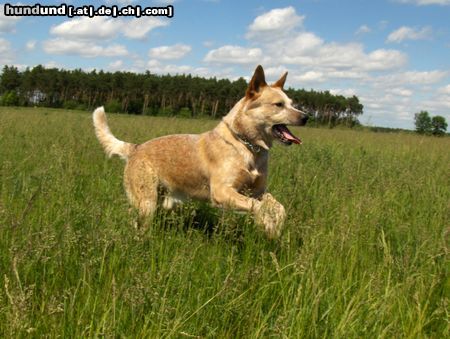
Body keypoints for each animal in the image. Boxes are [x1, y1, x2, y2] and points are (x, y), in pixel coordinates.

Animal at [93, 65, 308, 239]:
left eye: (292, 103)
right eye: (279, 105)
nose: (306, 117)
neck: (247, 146)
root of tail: (135, 148)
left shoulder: (257, 191)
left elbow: (278, 206)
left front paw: (274, 226)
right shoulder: (222, 192)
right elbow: (260, 207)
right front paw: (268, 224)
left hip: (162, 201)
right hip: (146, 203)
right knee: (136, 221)